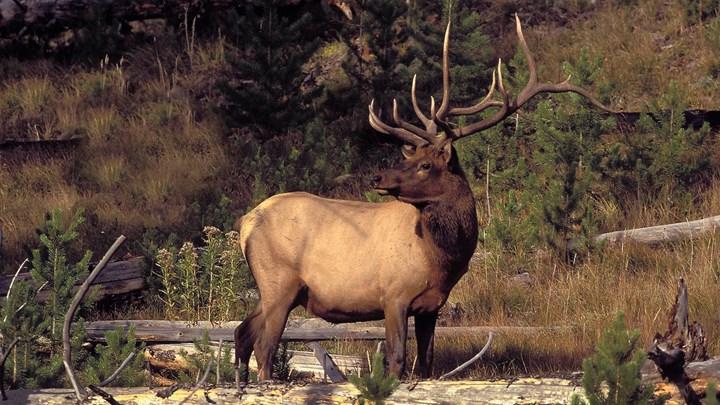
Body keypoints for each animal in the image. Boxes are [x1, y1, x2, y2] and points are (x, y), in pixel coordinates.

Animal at [232, 15, 612, 382]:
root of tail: (245, 223)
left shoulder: (432, 304)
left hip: (274, 289)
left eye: (424, 163)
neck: (442, 258)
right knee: (265, 346)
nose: (378, 177)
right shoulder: (394, 295)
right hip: (279, 282)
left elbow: (426, 363)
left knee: (241, 333)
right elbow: (398, 360)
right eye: (412, 157)